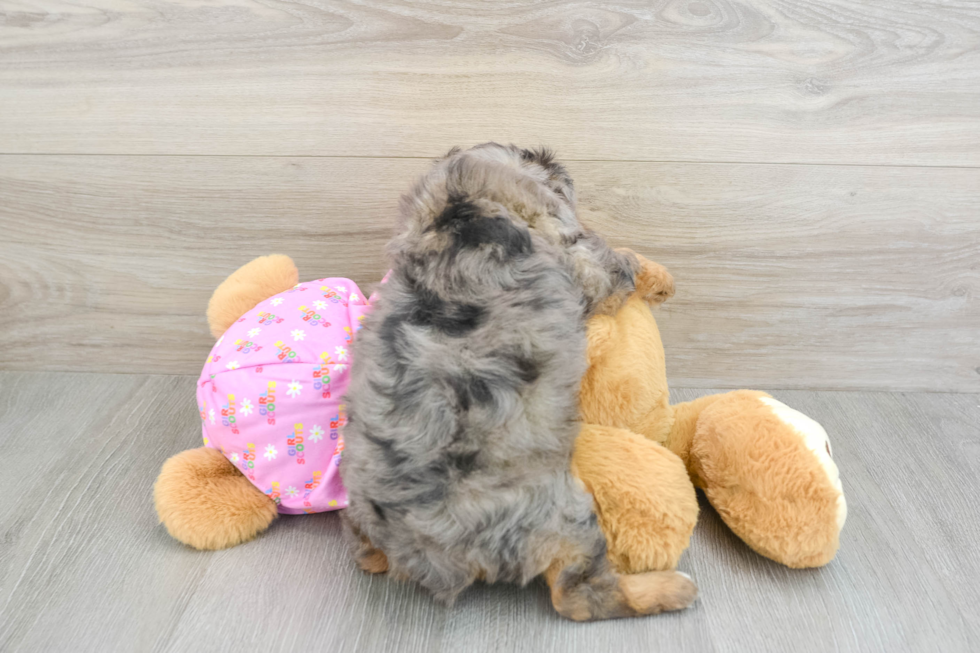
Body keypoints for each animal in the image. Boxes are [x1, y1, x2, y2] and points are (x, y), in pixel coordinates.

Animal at [342, 144, 696, 620]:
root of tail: (425, 549)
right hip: (564, 514)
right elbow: (622, 262)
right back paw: (673, 588)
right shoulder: (578, 256)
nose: (552, 157)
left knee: (367, 557)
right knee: (580, 597)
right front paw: (660, 278)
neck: (455, 211)